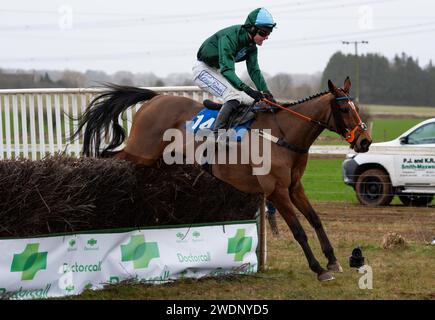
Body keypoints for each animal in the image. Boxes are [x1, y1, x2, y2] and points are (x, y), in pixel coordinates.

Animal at [74, 77, 372, 280]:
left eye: (356, 106)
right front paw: (319, 269)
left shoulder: (293, 186)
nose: (365, 141)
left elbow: (315, 219)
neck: (284, 135)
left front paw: (333, 260)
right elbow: (298, 230)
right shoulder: (276, 191)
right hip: (141, 150)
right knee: (111, 156)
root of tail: (155, 99)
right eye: (344, 110)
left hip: (153, 157)